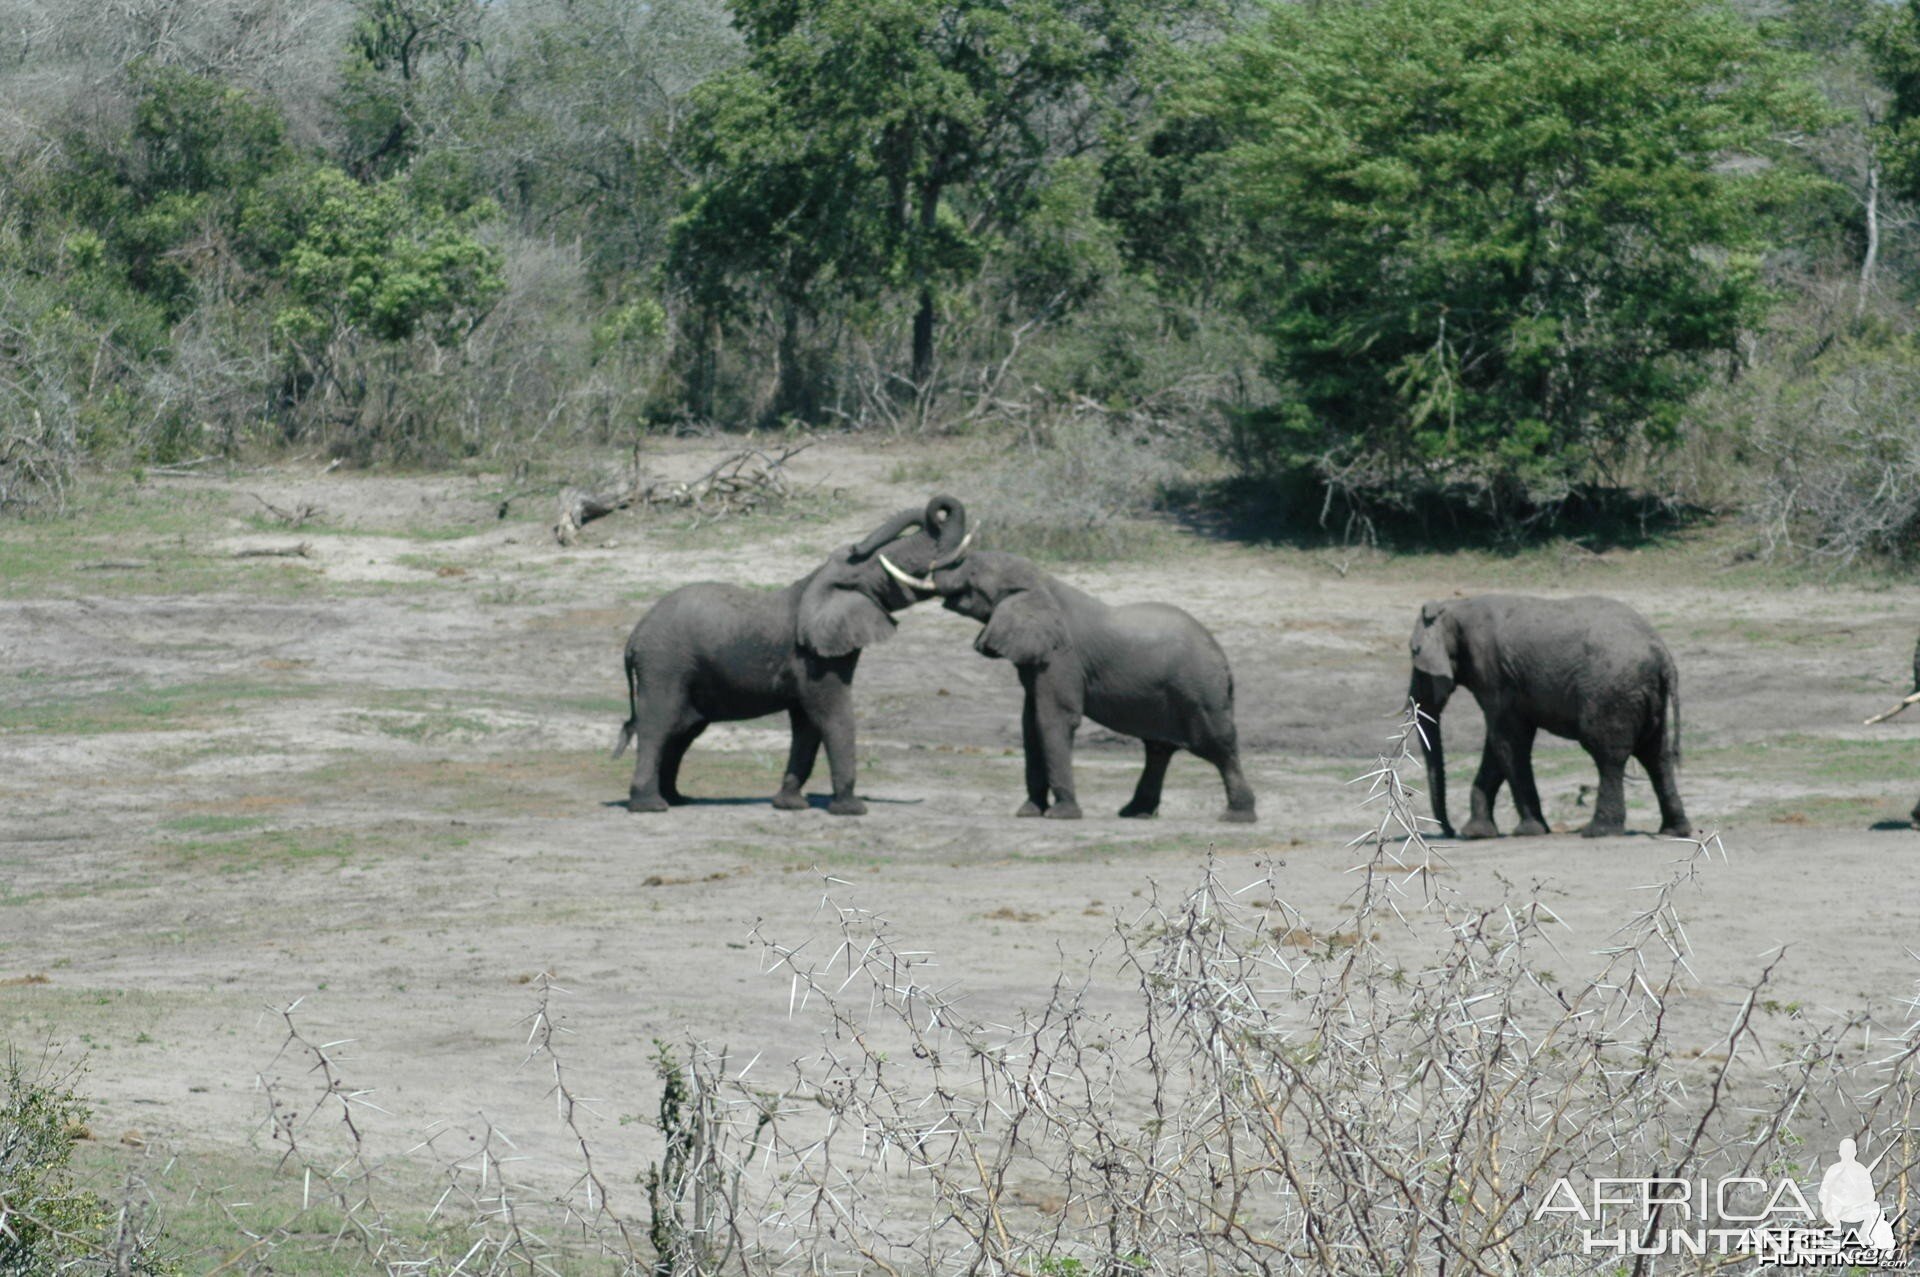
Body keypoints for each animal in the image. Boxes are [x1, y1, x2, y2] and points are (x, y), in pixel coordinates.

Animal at [614, 491, 975, 810]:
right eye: (892, 565)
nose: (856, 544)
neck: (816, 581)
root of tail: (632, 639)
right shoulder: (814, 657)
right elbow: (831, 713)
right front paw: (851, 808)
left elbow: (807, 724)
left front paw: (790, 805)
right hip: (664, 664)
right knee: (657, 724)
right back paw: (650, 806)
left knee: (681, 731)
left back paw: (677, 799)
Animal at [883, 545, 1259, 821]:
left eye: (973, 572)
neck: (1043, 582)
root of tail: (1223, 659)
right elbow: (1030, 724)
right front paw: (1028, 813)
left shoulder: (1062, 656)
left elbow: (1054, 719)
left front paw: (1061, 815)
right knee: (1158, 749)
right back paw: (1134, 813)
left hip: (1200, 689)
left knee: (1218, 745)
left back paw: (1236, 817)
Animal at [1405, 595, 1689, 837]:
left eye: (1414, 653)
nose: (1449, 831)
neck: (1454, 607)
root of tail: (1661, 652)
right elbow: (1498, 747)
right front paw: (1477, 834)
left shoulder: (1493, 674)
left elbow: (1507, 744)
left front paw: (1528, 831)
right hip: (1646, 694)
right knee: (1656, 756)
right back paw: (1674, 830)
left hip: (1612, 692)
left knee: (1608, 755)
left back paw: (1599, 832)